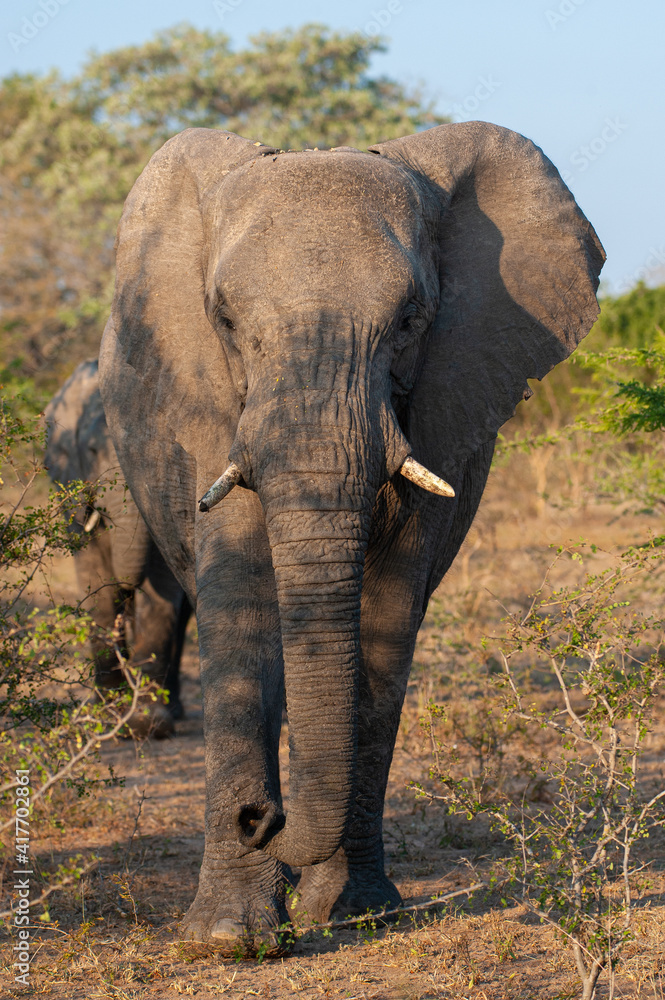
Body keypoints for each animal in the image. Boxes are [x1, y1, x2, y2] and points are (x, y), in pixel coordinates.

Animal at [45, 359, 190, 736]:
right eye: (93, 452)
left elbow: (162, 589)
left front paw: (148, 725)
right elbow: (96, 582)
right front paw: (105, 715)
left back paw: (174, 709)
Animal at [98, 121, 604, 949]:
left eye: (408, 321)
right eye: (224, 320)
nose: (258, 818)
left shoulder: (435, 404)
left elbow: (388, 613)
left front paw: (355, 913)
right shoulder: (209, 401)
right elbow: (240, 591)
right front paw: (228, 941)